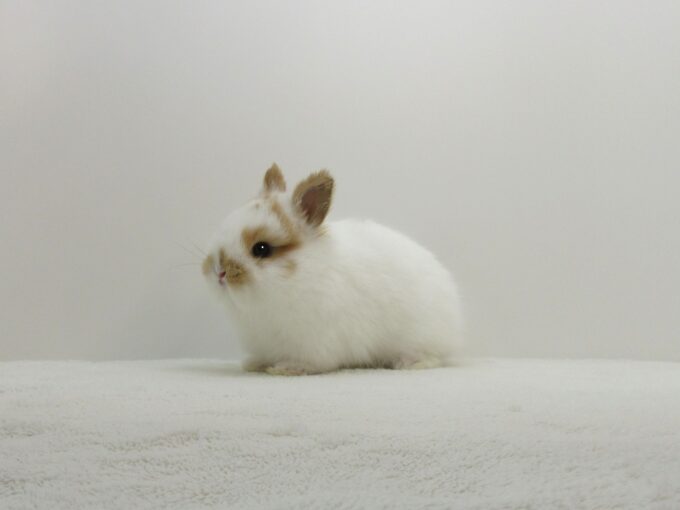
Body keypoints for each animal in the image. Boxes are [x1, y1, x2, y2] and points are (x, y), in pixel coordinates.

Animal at [202, 164, 463, 375]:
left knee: (433, 357)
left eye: (262, 249)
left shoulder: (316, 342)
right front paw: (254, 364)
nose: (218, 271)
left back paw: (408, 363)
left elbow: (310, 363)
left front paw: (286, 368)